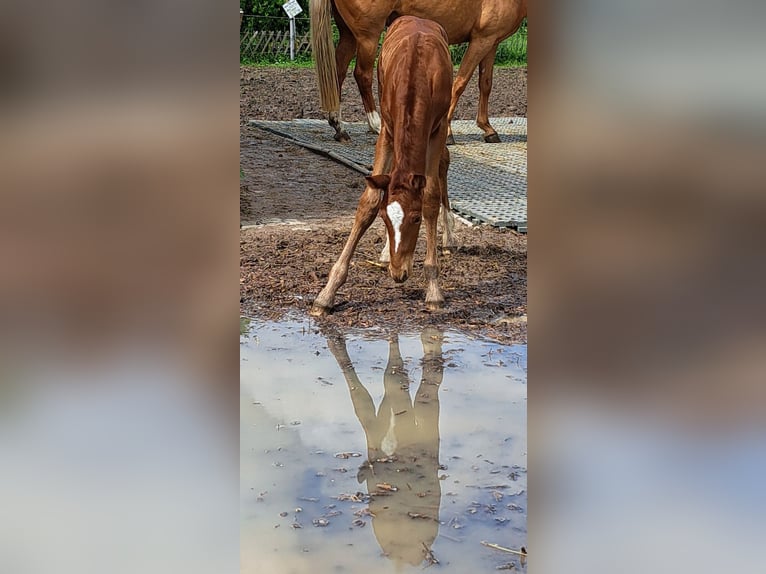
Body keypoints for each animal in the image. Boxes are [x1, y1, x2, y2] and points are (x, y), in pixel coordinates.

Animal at [312, 0, 528, 144]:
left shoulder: (491, 42)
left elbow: (486, 84)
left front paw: (488, 129)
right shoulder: (480, 41)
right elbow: (460, 83)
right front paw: (448, 132)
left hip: (349, 35)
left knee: (337, 75)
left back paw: (339, 127)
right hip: (368, 37)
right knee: (362, 75)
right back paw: (375, 124)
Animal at [312, 15, 456, 318]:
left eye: (415, 219)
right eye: (385, 219)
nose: (398, 273)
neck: (416, 72)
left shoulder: (437, 131)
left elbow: (431, 195)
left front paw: (433, 289)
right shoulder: (387, 131)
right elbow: (369, 198)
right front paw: (327, 293)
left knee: (444, 163)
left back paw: (448, 235)